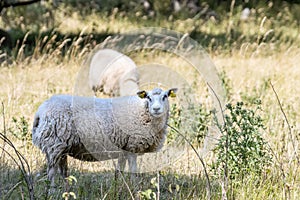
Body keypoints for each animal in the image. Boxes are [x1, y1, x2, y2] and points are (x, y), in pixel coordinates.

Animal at [31, 87, 177, 188]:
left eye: (165, 96)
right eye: (148, 97)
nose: (156, 109)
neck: (142, 111)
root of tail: (40, 111)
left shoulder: (123, 148)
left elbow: (119, 171)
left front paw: (117, 187)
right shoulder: (132, 147)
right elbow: (133, 172)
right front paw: (135, 190)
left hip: (62, 147)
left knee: (63, 172)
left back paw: (66, 191)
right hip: (54, 144)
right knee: (51, 172)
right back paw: (52, 191)